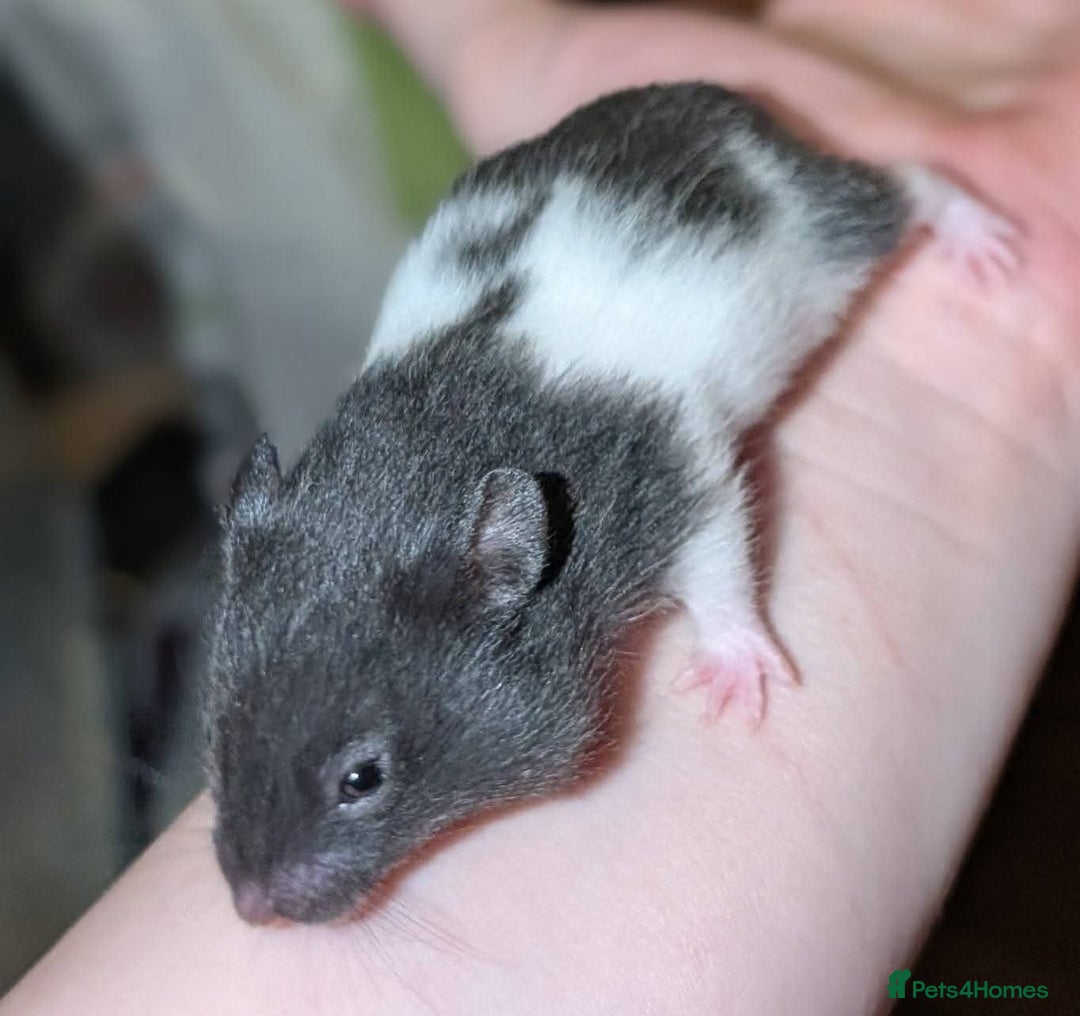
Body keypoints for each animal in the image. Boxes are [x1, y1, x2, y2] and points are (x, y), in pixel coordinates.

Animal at [204, 83, 1017, 925]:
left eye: (362, 779)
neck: (420, 463)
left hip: (821, 232)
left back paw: (979, 239)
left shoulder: (678, 473)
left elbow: (720, 560)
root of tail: (725, 102)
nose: (251, 909)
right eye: (214, 737)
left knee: (906, 184)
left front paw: (734, 681)